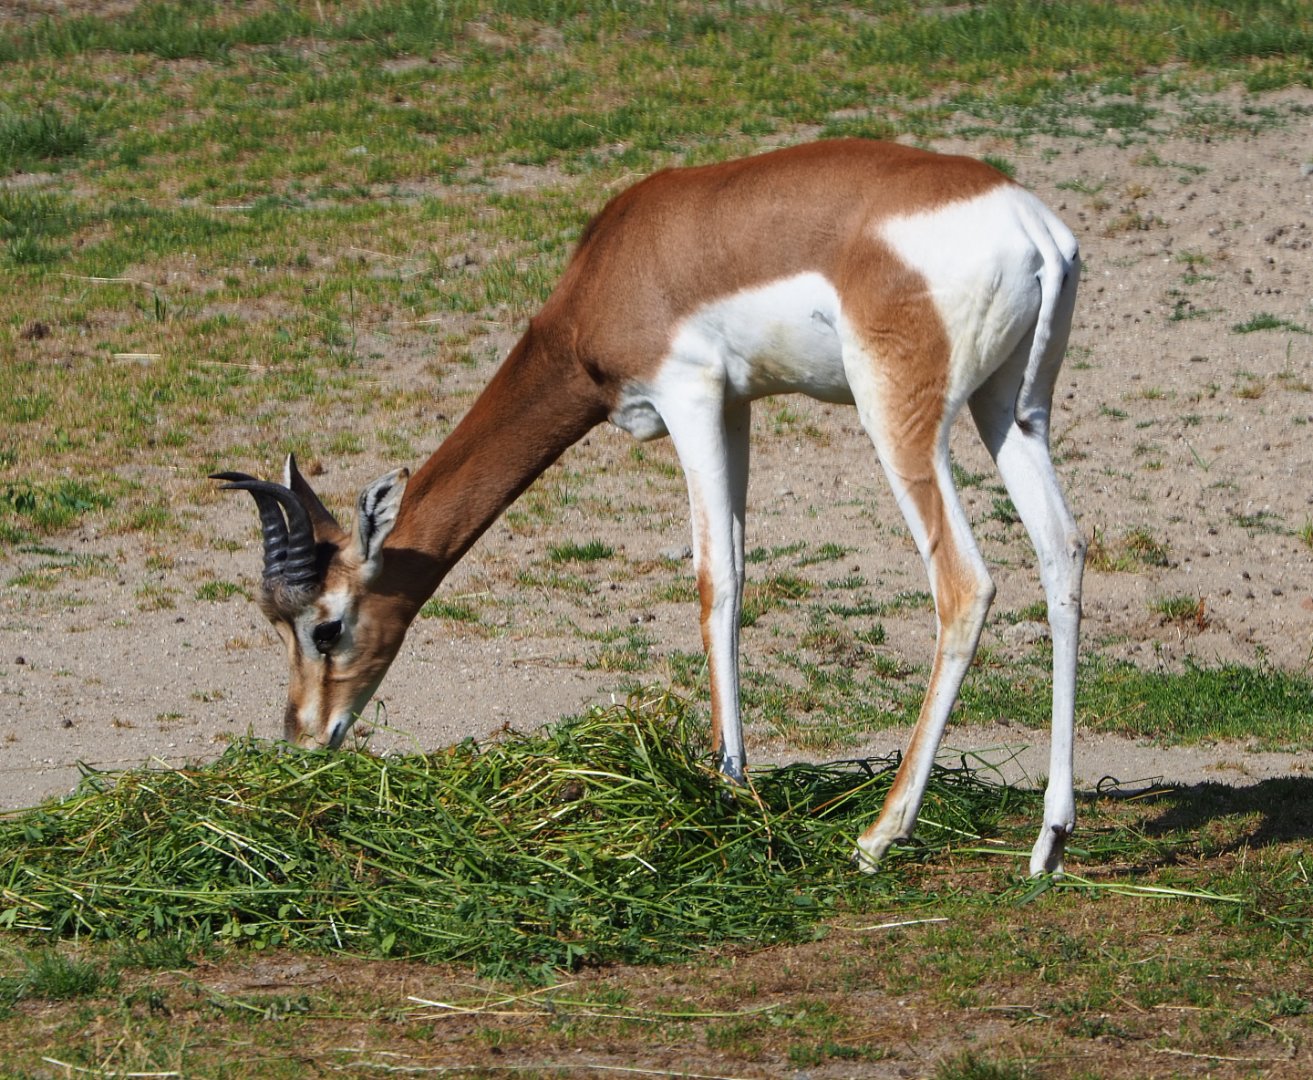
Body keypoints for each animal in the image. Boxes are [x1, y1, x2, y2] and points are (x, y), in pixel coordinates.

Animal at [215, 139, 1083, 876]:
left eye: (325, 627)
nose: (303, 737)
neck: (619, 263)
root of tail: (1029, 225)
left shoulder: (689, 395)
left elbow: (714, 582)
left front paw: (726, 789)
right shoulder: (736, 406)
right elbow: (733, 575)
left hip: (898, 417)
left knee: (964, 584)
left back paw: (876, 836)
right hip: (1013, 410)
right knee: (1062, 553)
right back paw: (1048, 841)